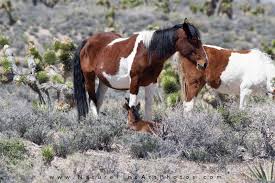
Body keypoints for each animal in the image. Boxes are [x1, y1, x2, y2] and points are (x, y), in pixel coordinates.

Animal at [74, 18, 208, 119]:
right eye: (192, 40)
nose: (204, 63)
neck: (148, 52)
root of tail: (88, 41)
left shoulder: (151, 83)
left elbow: (148, 108)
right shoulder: (134, 82)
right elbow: (132, 106)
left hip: (104, 82)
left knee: (98, 101)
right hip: (89, 77)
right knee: (92, 100)